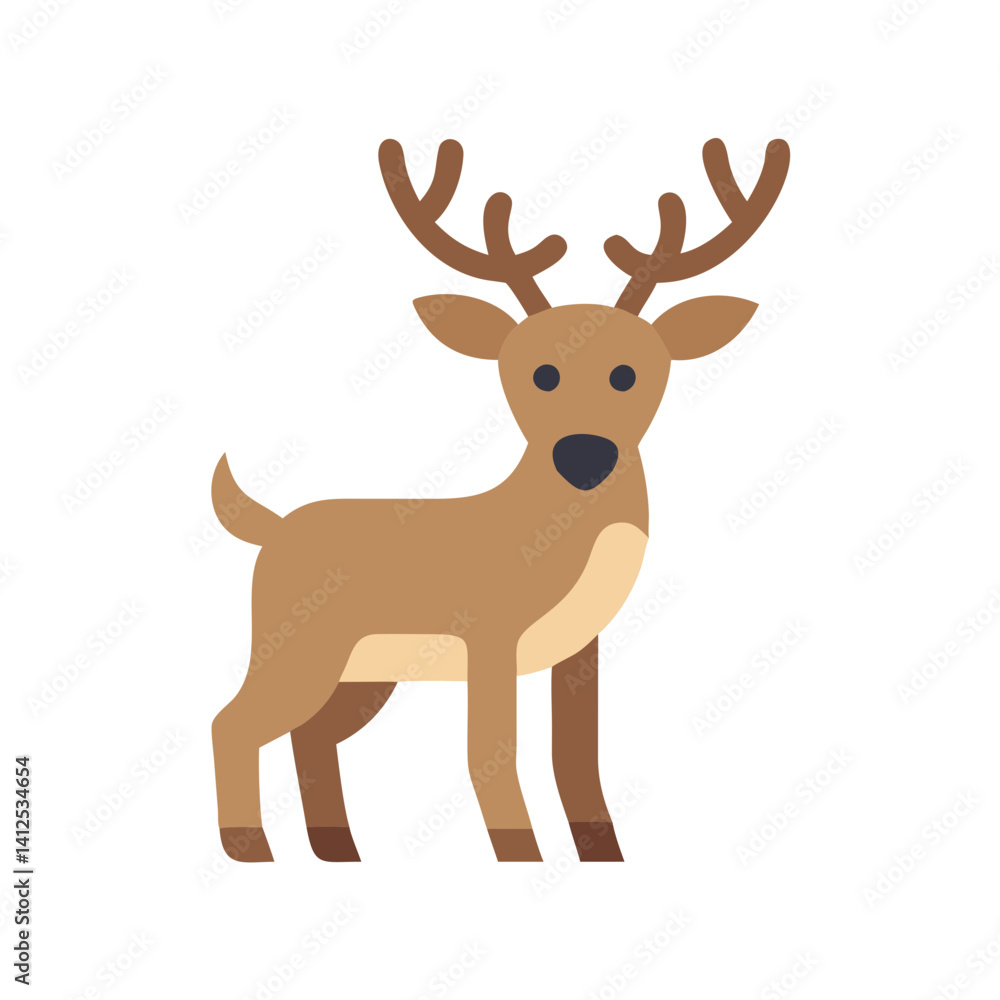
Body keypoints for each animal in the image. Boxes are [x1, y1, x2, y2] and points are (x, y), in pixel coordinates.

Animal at [210, 135, 789, 863]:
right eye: (540, 374)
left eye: (628, 374)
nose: (584, 454)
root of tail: (272, 526)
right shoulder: (489, 637)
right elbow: (491, 752)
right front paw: (522, 855)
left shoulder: (578, 649)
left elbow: (576, 758)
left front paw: (601, 852)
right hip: (297, 646)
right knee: (232, 722)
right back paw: (250, 848)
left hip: (362, 669)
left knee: (310, 735)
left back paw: (338, 849)